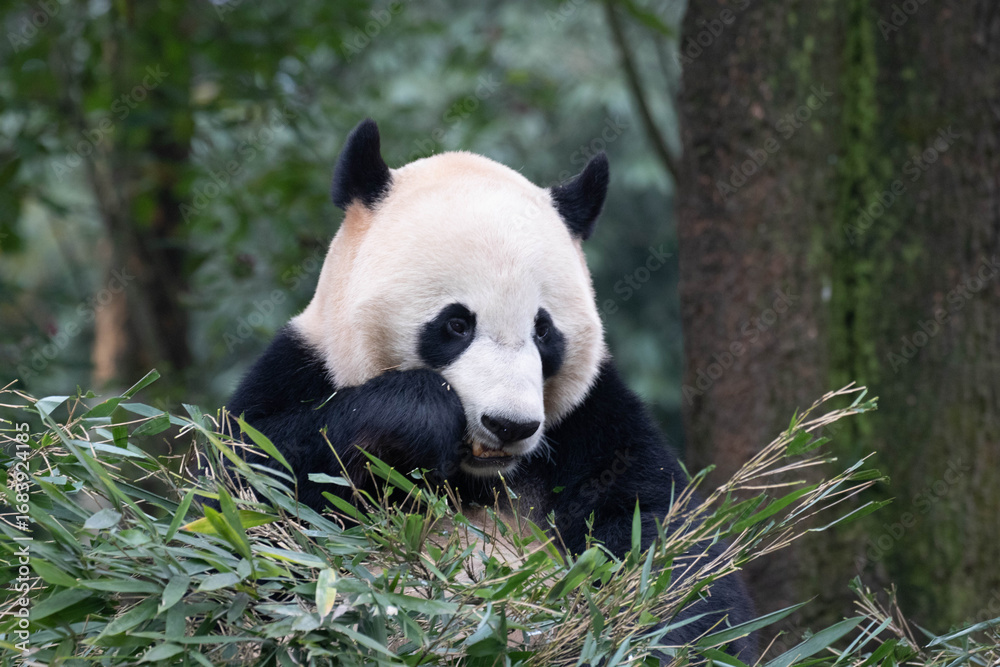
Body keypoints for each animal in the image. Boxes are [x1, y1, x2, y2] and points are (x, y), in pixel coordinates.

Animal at [226, 119, 756, 660]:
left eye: (543, 330)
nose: (509, 425)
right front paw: (418, 416)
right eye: (457, 324)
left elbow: (666, 545)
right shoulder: (303, 368)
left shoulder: (594, 419)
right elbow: (254, 492)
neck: (477, 476)